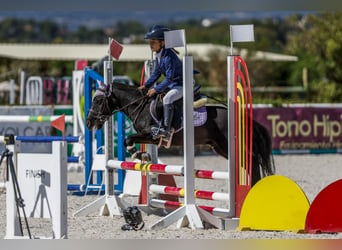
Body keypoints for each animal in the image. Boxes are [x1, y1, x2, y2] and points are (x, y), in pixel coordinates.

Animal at [85, 81, 276, 185]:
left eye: (98, 100)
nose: (89, 122)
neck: (140, 105)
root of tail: (242, 115)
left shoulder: (151, 134)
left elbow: (128, 139)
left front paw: (138, 154)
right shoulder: (154, 139)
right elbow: (129, 140)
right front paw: (143, 155)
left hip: (230, 144)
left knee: (252, 160)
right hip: (220, 147)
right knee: (249, 162)